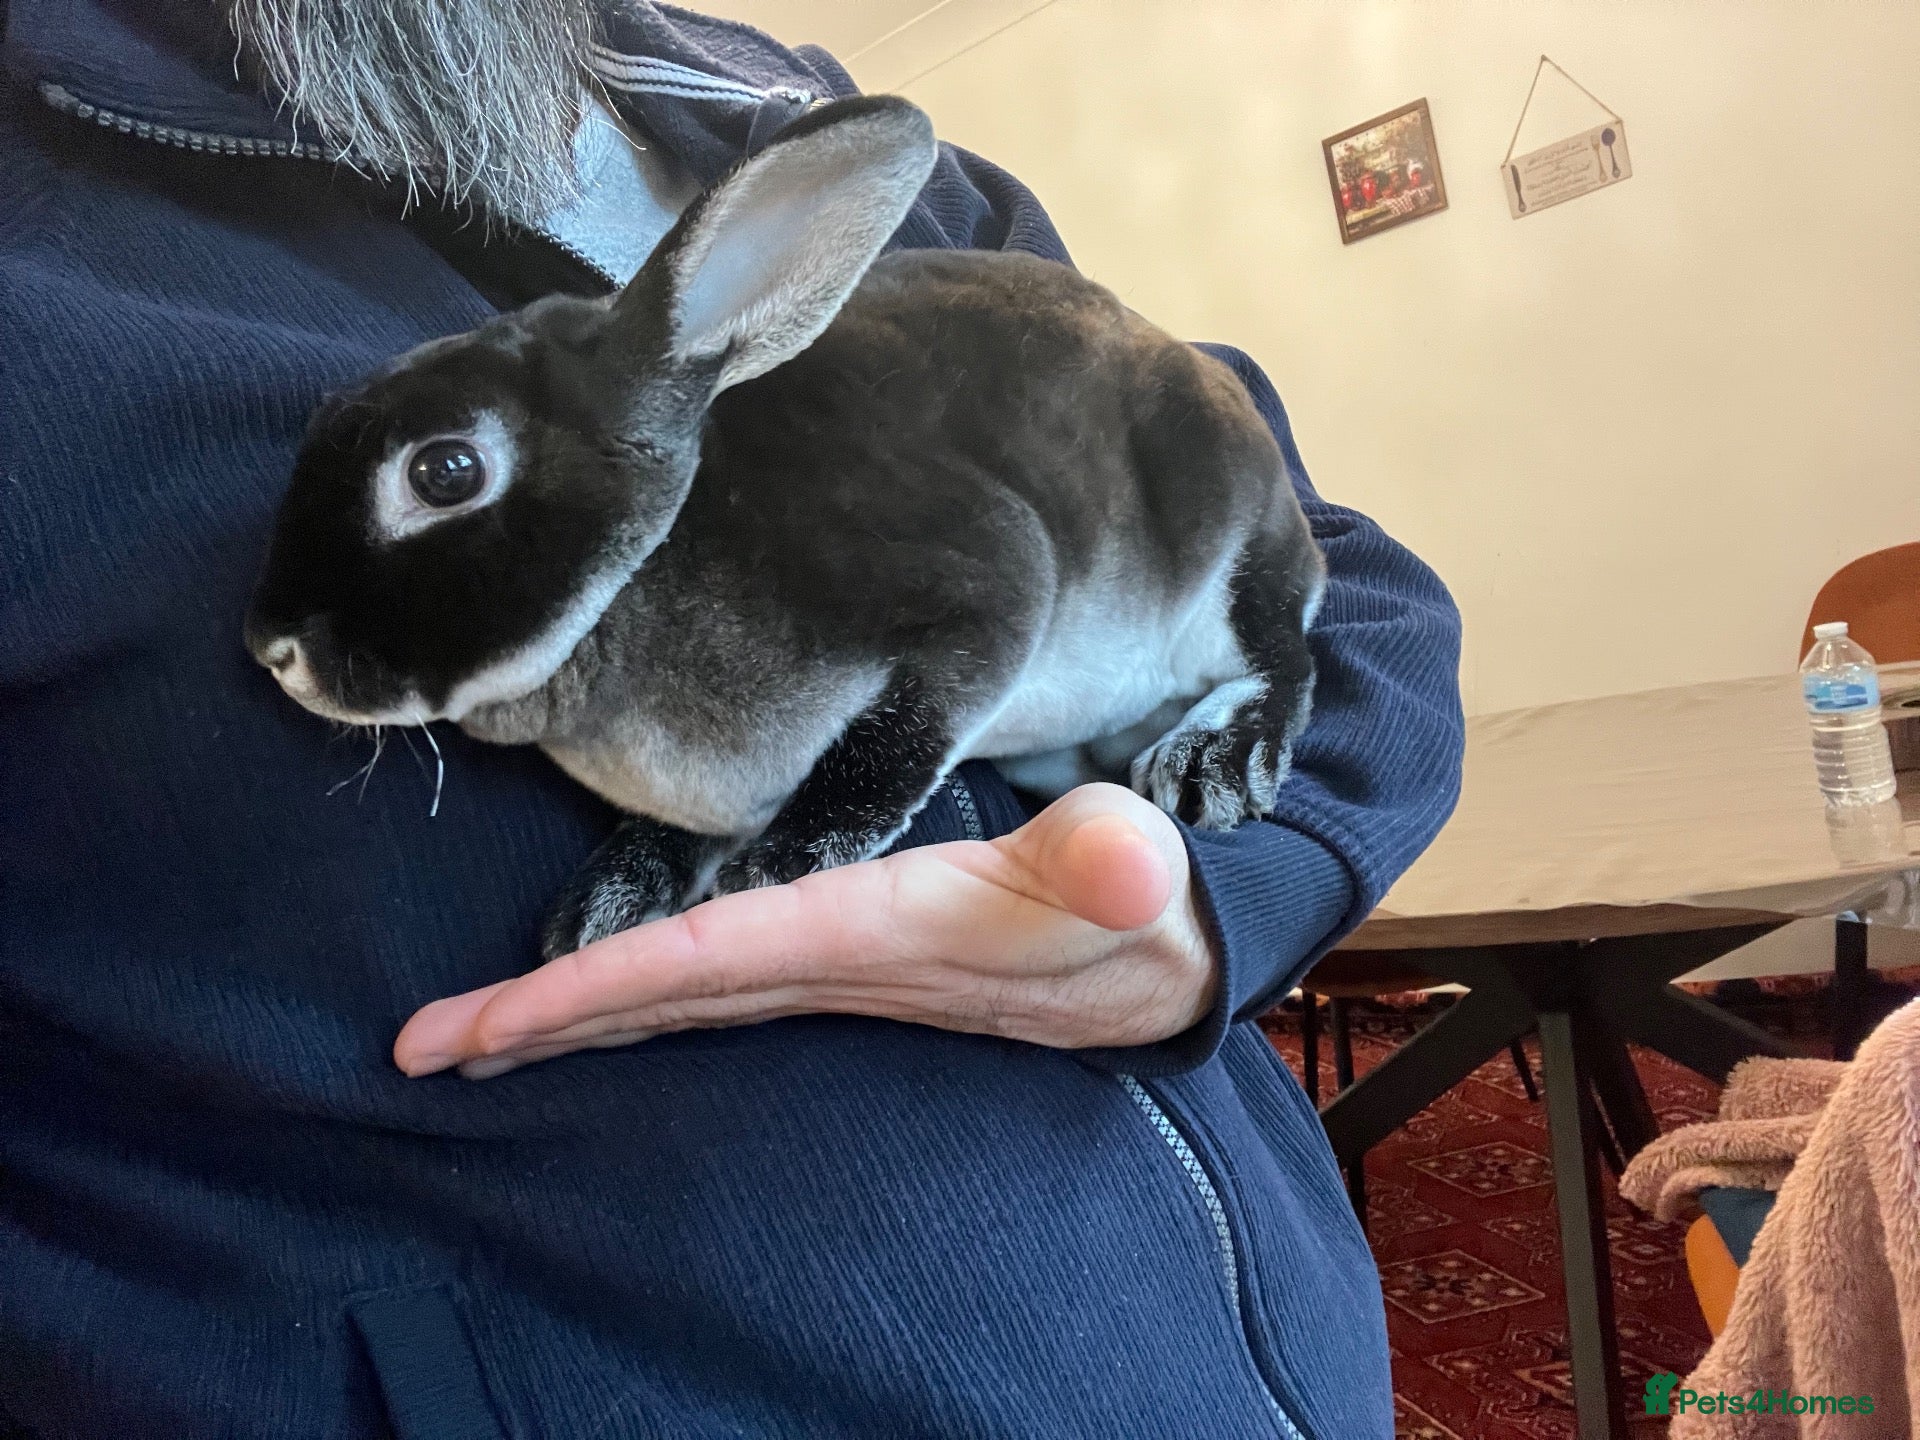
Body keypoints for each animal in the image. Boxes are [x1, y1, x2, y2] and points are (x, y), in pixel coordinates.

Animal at [244, 94, 1325, 961]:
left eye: (445, 472)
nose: (271, 647)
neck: (640, 578)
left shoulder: (984, 594)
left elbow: (891, 749)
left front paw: (776, 867)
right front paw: (610, 906)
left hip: (1231, 554)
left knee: (1283, 655)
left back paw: (1215, 762)